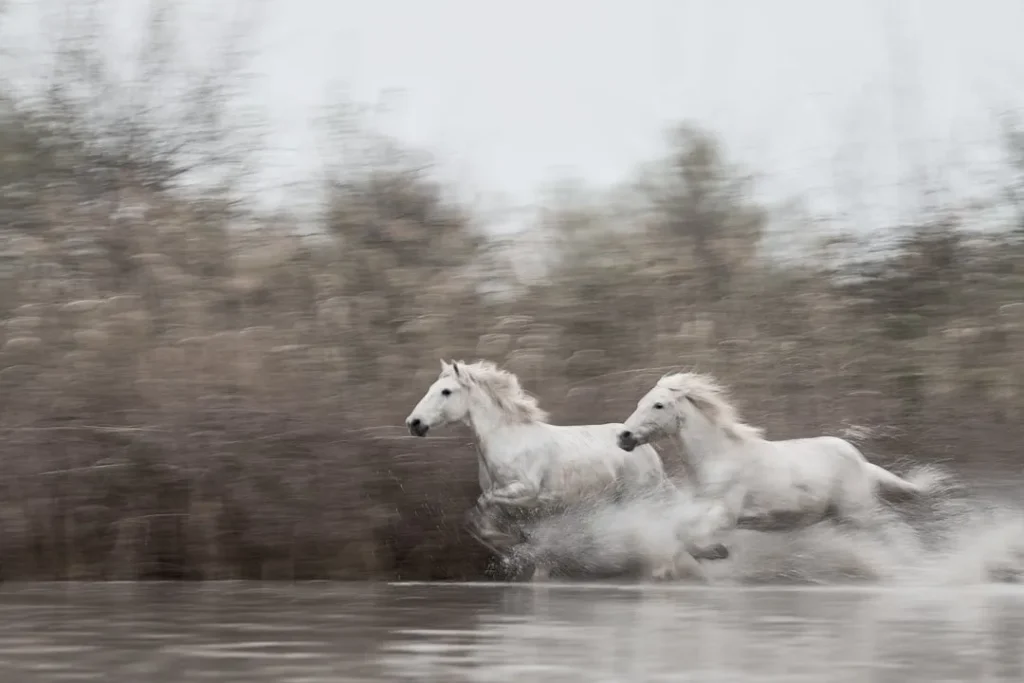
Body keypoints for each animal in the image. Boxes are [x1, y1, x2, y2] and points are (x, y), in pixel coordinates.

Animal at [404, 359, 727, 581]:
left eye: (446, 391)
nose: (414, 423)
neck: (508, 440)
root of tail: (642, 447)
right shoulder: (517, 505)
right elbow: (479, 520)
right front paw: (516, 550)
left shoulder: (526, 493)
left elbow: (482, 508)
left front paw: (514, 549)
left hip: (641, 496)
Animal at [616, 371, 951, 558]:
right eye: (639, 402)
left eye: (658, 405)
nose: (623, 436)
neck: (718, 459)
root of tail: (861, 461)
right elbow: (680, 531)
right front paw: (715, 552)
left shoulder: (726, 514)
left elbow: (689, 535)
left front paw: (718, 552)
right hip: (843, 518)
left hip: (860, 513)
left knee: (897, 534)